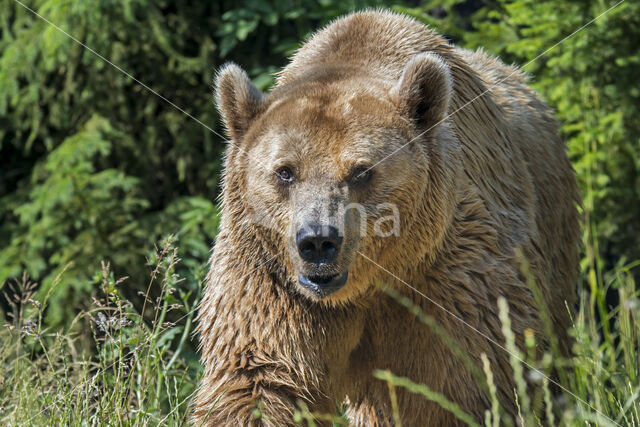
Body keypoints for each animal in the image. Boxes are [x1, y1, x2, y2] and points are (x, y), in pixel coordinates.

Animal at [191, 8, 580, 426]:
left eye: (361, 171)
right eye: (285, 171)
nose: (318, 241)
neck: (371, 283)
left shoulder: (449, 274)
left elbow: (462, 384)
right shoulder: (271, 279)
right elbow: (261, 377)